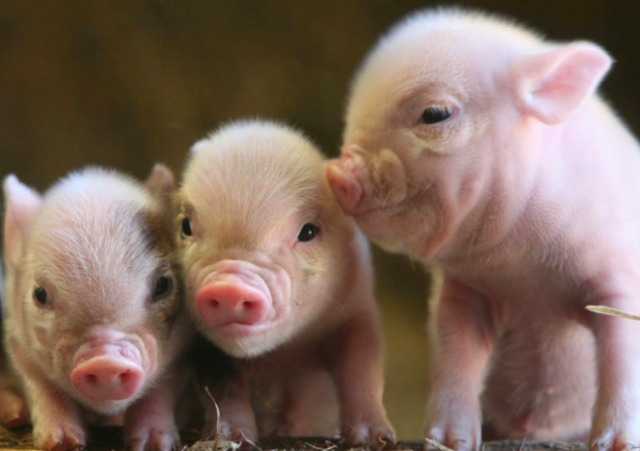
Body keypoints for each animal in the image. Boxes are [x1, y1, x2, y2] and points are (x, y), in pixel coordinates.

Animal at [2, 165, 192, 451]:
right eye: (40, 294)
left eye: (163, 284)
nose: (106, 362)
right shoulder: (17, 343)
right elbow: (42, 385)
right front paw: (61, 442)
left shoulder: (183, 351)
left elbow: (161, 389)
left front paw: (152, 444)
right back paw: (14, 415)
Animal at [177, 120, 394, 447]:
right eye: (185, 226)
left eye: (308, 232)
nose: (229, 287)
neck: (282, 355)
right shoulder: (201, 344)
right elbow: (223, 386)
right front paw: (233, 438)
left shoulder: (358, 313)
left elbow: (361, 369)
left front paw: (374, 440)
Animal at [326, 7, 640, 451]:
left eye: (435, 113)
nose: (336, 172)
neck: (525, 272)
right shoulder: (465, 292)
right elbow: (456, 358)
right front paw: (448, 440)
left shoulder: (618, 280)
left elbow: (621, 356)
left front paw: (617, 443)